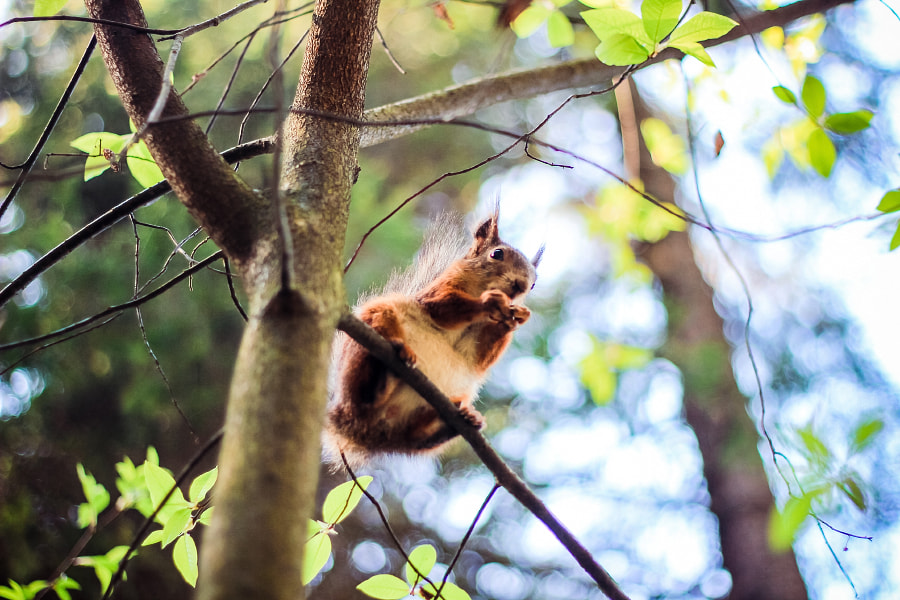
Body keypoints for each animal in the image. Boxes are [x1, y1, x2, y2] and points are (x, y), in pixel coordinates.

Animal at [326, 204, 544, 466]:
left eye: (534, 283)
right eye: (497, 254)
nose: (521, 286)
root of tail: (357, 431)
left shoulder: (474, 345)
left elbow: (479, 355)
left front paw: (517, 318)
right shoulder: (437, 292)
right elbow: (441, 307)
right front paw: (489, 301)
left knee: (413, 437)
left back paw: (460, 419)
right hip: (371, 331)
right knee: (364, 398)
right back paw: (388, 372)